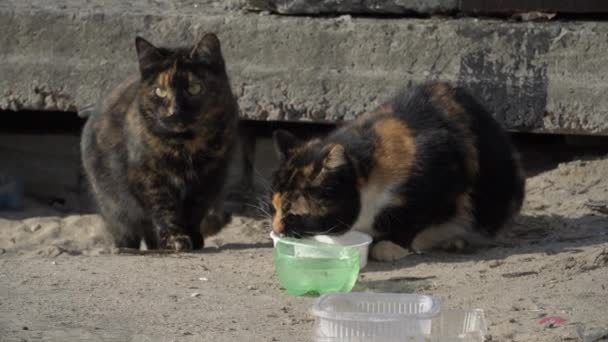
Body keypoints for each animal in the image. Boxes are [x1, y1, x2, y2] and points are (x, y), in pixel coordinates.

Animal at [78, 33, 235, 250]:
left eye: (194, 88)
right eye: (160, 91)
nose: (174, 111)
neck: (185, 146)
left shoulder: (209, 177)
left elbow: (195, 209)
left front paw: (193, 237)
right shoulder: (149, 177)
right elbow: (164, 210)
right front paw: (175, 239)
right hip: (113, 205)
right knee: (127, 229)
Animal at [268, 83, 524, 262]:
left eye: (294, 213)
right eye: (275, 206)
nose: (276, 229)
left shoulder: (443, 173)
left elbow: (414, 215)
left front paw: (390, 246)